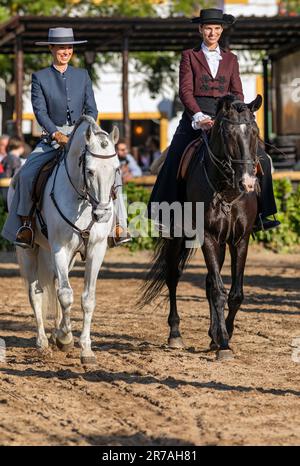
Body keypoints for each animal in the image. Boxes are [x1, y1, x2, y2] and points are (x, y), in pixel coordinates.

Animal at [9, 115, 119, 364]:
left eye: (116, 169)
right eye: (90, 171)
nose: (102, 214)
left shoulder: (96, 250)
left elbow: (87, 298)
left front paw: (85, 349)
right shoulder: (60, 248)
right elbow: (67, 296)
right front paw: (66, 337)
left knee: (57, 283)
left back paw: (54, 333)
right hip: (28, 251)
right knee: (36, 293)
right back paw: (43, 342)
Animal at [141, 93, 262, 360]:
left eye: (255, 132)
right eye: (227, 133)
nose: (247, 182)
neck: (226, 190)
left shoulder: (240, 239)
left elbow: (235, 293)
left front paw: (223, 334)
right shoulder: (207, 236)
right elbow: (218, 290)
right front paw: (224, 343)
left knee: (206, 282)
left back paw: (212, 334)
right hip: (177, 237)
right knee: (173, 277)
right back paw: (175, 333)